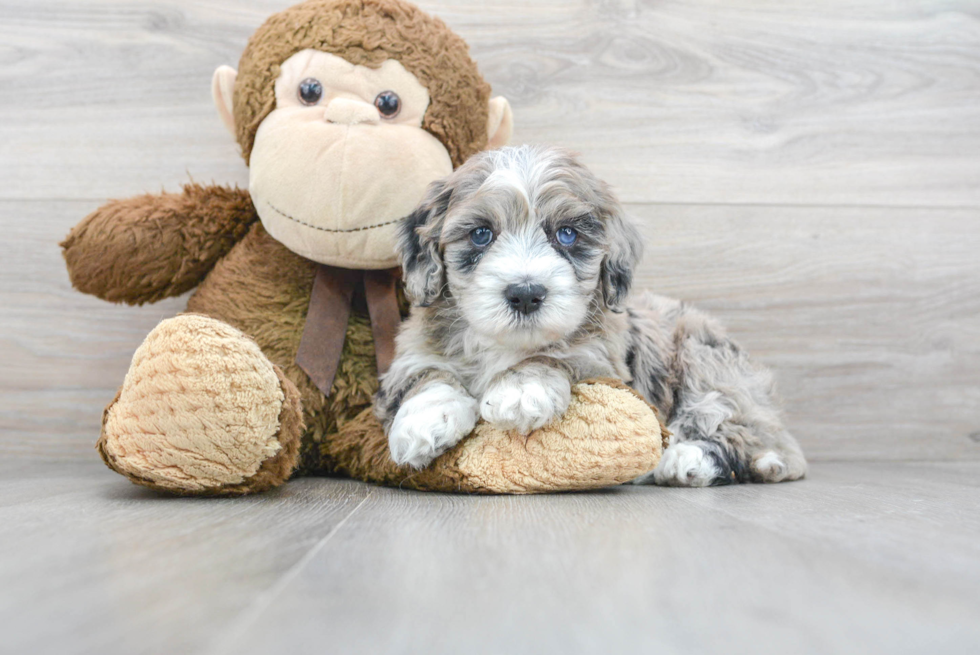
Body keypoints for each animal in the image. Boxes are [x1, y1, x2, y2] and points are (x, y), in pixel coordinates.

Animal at [372, 146, 808, 484]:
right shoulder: (406, 357)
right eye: (481, 234)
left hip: (706, 362)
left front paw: (523, 388)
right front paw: (425, 419)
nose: (525, 294)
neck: (506, 345)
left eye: (567, 234)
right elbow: (425, 373)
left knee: (742, 432)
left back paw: (688, 459)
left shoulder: (604, 362)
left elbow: (558, 356)